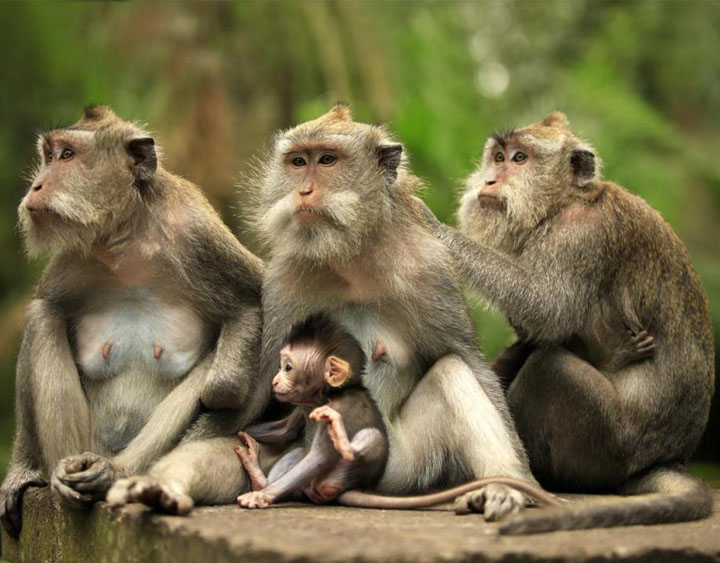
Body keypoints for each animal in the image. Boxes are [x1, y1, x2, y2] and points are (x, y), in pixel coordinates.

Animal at [0, 105, 268, 537]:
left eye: (67, 155)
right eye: (48, 155)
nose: (37, 186)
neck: (127, 238)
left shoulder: (197, 234)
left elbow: (250, 309)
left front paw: (222, 393)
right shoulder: (71, 260)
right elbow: (45, 306)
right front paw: (23, 471)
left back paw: (115, 472)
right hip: (88, 440)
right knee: (43, 318)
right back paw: (65, 473)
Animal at [236, 314, 563, 511]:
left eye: (288, 367)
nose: (275, 381)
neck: (325, 396)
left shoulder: (331, 406)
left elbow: (317, 456)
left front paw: (263, 495)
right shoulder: (302, 408)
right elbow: (287, 431)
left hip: (378, 469)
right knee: (296, 453)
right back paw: (259, 475)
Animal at [244, 103, 539, 522]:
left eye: (327, 160)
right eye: (298, 162)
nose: (303, 190)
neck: (352, 256)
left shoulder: (430, 270)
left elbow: (468, 359)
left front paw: (521, 481)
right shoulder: (283, 283)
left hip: (402, 468)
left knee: (451, 372)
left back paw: (500, 486)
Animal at [419, 111, 715, 533]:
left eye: (520, 158)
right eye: (498, 157)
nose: (490, 181)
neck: (565, 203)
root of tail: (667, 456)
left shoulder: (580, 235)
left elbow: (548, 308)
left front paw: (429, 224)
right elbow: (536, 328)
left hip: (610, 445)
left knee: (550, 367)